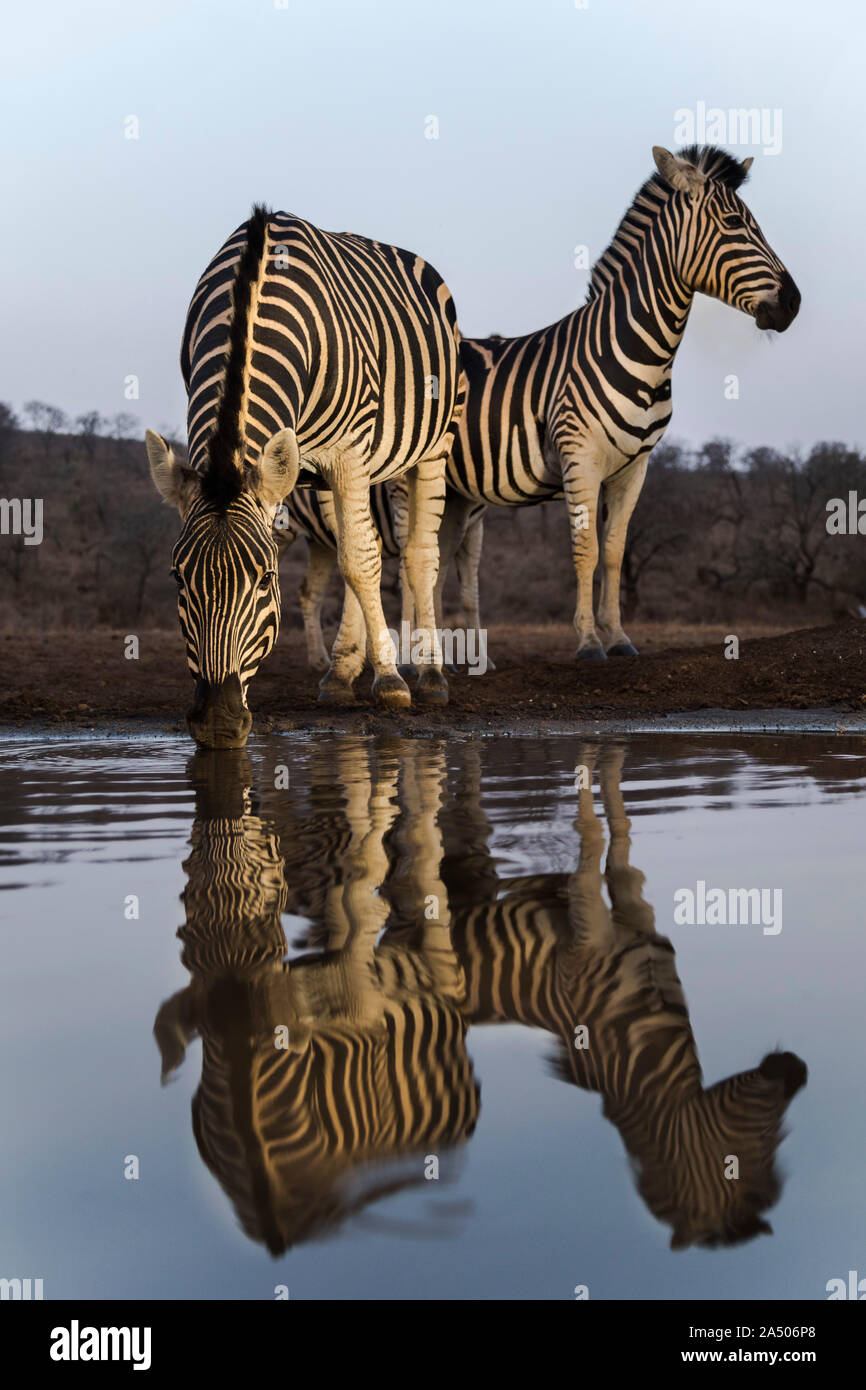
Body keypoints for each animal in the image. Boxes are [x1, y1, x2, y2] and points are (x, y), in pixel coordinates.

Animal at [147, 202, 467, 750]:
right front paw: (353, 671)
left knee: (417, 556)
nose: (218, 723)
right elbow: (354, 559)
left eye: (265, 579)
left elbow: (360, 561)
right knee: (360, 546)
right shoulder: (305, 466)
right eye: (178, 578)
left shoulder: (348, 450)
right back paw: (341, 672)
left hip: (430, 446)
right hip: (327, 475)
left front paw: (391, 682)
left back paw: (429, 676)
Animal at [436, 146, 800, 656]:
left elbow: (613, 550)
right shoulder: (580, 458)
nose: (792, 304)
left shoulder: (634, 467)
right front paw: (589, 641)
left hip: (456, 492)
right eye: (733, 222)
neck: (642, 351)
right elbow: (585, 550)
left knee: (430, 561)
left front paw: (620, 638)